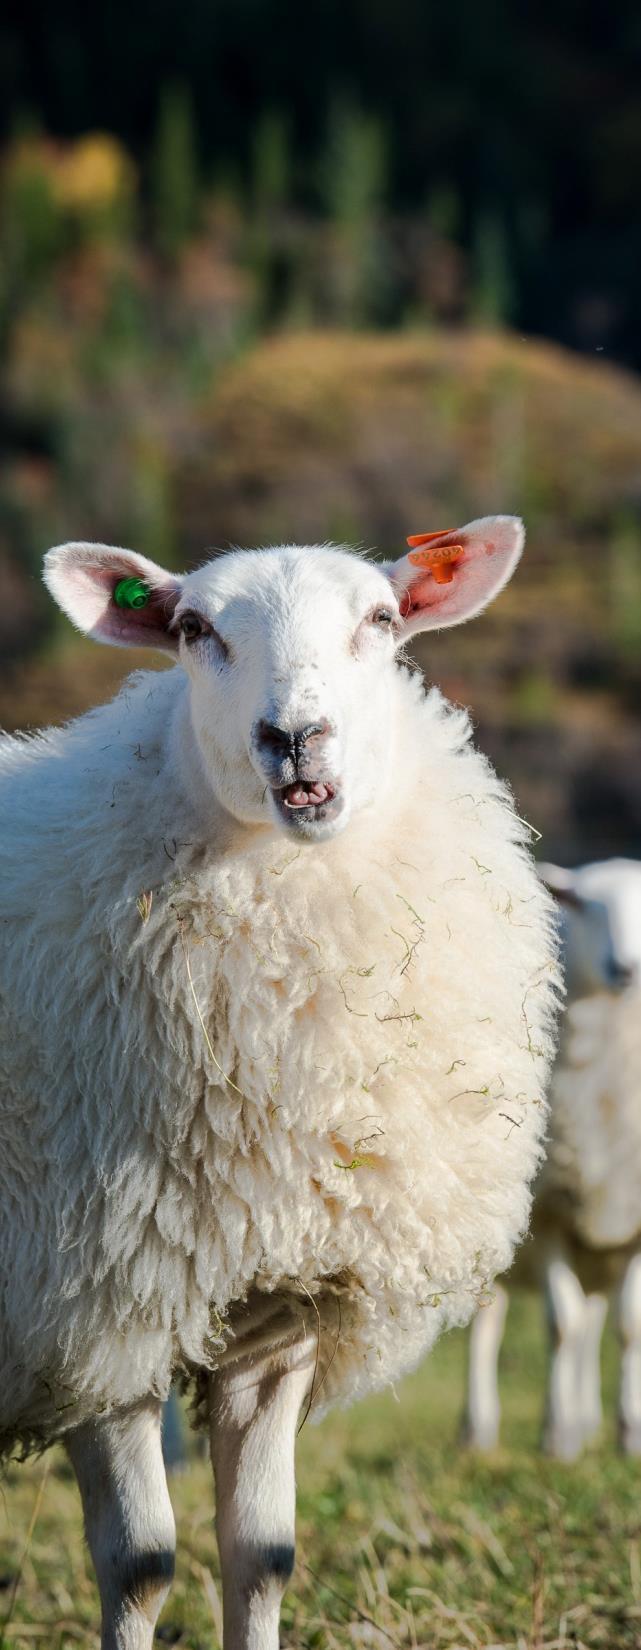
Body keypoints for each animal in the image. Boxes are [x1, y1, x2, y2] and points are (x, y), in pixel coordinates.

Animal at [0, 521, 558, 1650]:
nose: (293, 737)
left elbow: (261, 1554)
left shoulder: (281, 1310)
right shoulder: (87, 1305)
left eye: (381, 619)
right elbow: (139, 1562)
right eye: (191, 629)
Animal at [462, 858, 641, 1465]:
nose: (625, 968)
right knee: (487, 1328)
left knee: (593, 1325)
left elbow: (629, 1328)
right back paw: (477, 1432)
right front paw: (559, 1441)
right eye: (583, 904)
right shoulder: (549, 1215)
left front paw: (628, 1435)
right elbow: (560, 1327)